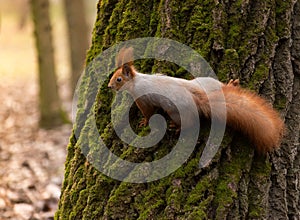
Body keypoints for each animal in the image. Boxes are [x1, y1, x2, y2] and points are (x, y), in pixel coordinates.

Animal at [108, 46, 284, 153]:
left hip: (176, 112)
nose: (109, 86)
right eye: (112, 77)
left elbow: (148, 112)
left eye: (118, 79)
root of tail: (199, 99)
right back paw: (231, 84)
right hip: (207, 82)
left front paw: (144, 122)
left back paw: (176, 128)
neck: (136, 81)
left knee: (189, 123)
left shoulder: (142, 98)